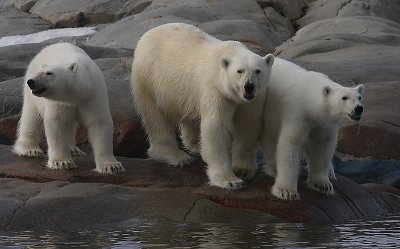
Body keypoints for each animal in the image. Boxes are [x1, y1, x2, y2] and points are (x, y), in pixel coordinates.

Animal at [13, 42, 124, 173]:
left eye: (49, 73)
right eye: (40, 72)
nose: (32, 82)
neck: (77, 94)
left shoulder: (93, 96)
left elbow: (99, 123)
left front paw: (112, 166)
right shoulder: (59, 103)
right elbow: (58, 123)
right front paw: (61, 162)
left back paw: (73, 149)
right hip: (31, 94)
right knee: (31, 117)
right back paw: (30, 149)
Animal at [131, 22, 276, 189]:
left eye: (258, 71)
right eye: (239, 71)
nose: (249, 86)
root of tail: (147, 34)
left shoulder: (253, 99)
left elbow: (248, 125)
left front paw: (242, 171)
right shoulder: (215, 90)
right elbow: (216, 127)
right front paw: (230, 181)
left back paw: (196, 145)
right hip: (150, 79)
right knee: (156, 117)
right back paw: (178, 156)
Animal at [260, 57, 366, 199]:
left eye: (359, 97)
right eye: (344, 98)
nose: (358, 108)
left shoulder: (325, 124)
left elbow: (323, 147)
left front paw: (322, 185)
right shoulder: (297, 114)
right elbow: (291, 144)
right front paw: (286, 191)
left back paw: (330, 172)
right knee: (270, 139)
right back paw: (273, 167)